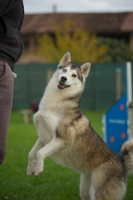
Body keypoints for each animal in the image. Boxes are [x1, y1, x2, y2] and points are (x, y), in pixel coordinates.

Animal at [27, 52, 133, 199]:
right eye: (64, 70)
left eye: (74, 75)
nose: (64, 78)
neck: (55, 104)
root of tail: (122, 162)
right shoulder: (44, 137)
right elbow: (32, 153)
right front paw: (31, 168)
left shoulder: (62, 138)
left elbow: (40, 153)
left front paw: (38, 169)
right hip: (84, 191)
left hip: (97, 192)